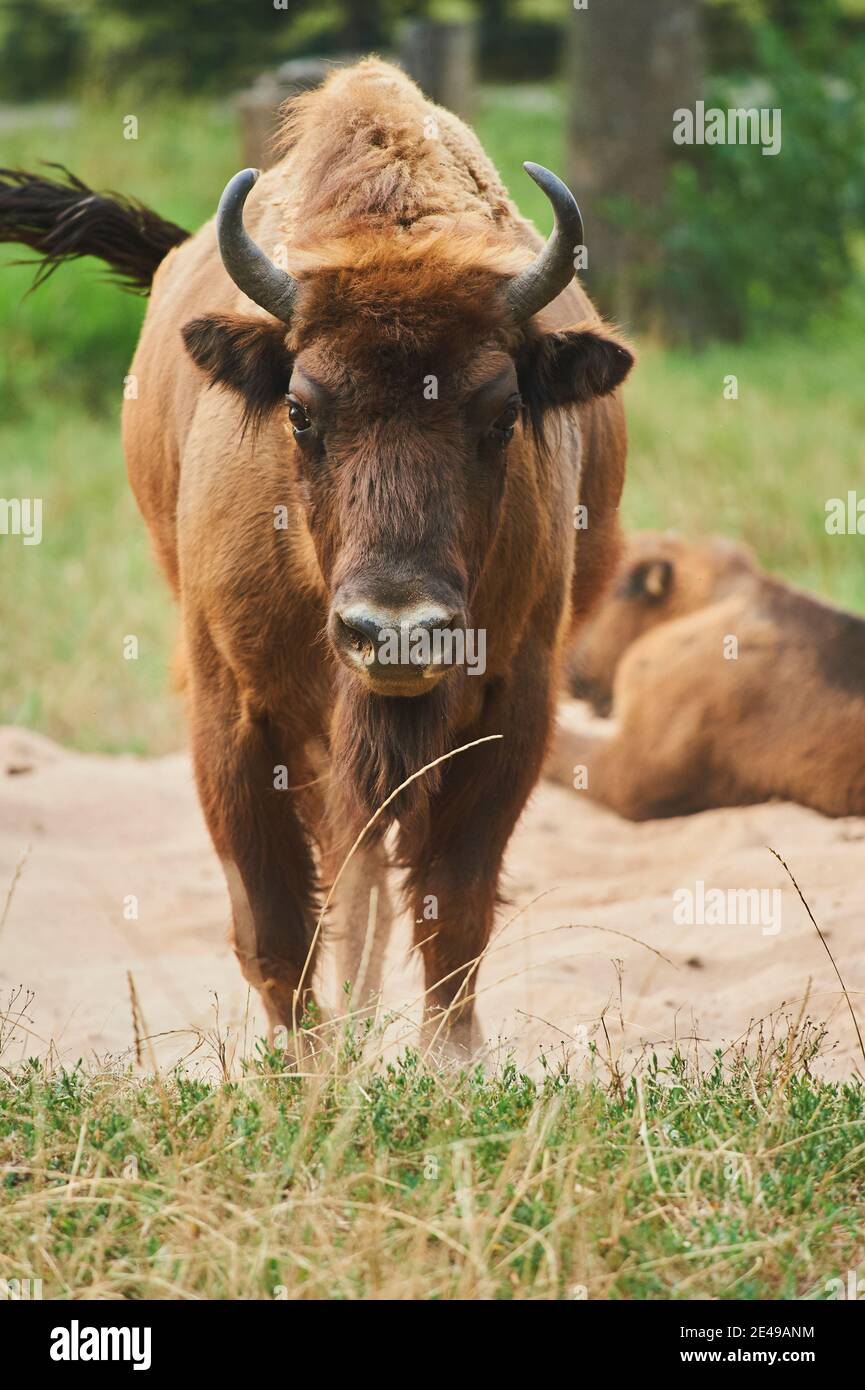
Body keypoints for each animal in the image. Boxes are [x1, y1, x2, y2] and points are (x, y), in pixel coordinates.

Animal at [1, 54, 636, 1050]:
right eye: (300, 411)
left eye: (502, 413)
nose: (397, 630)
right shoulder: (235, 713)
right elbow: (275, 925)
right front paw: (310, 1068)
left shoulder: (514, 702)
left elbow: (454, 911)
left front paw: (445, 1062)